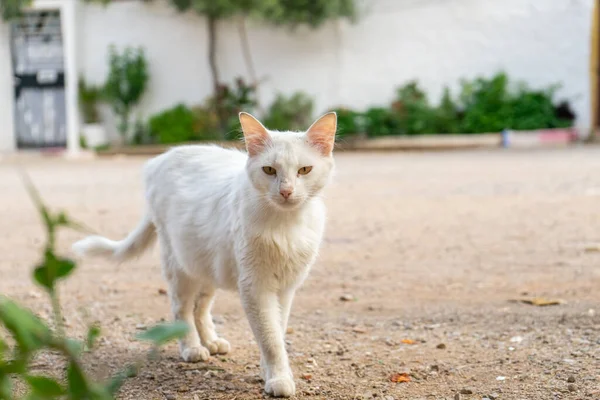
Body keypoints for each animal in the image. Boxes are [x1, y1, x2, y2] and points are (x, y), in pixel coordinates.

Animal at [71, 111, 338, 396]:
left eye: (304, 170)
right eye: (269, 170)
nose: (286, 192)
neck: (286, 223)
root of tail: (162, 158)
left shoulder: (285, 288)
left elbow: (277, 329)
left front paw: (269, 372)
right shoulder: (256, 288)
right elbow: (271, 339)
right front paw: (278, 378)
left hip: (208, 267)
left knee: (200, 308)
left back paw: (211, 342)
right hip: (180, 267)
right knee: (182, 309)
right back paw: (192, 348)